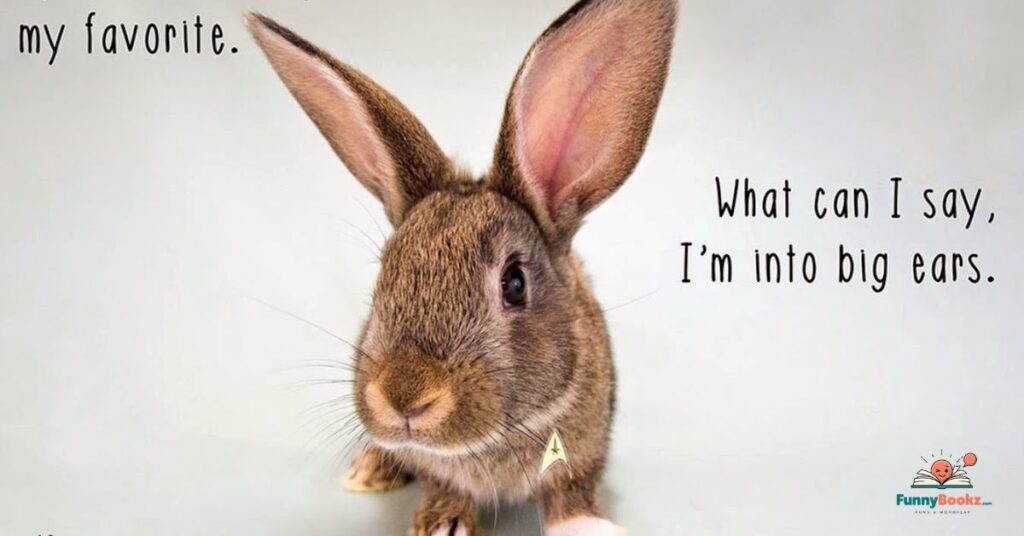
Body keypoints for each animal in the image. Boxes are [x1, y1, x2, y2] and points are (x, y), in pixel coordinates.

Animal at [245, 0, 676, 534]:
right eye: (384, 274)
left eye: (514, 283)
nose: (404, 397)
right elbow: (442, 483)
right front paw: (442, 523)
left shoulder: (583, 453)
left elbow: (571, 491)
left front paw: (587, 526)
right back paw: (369, 470)